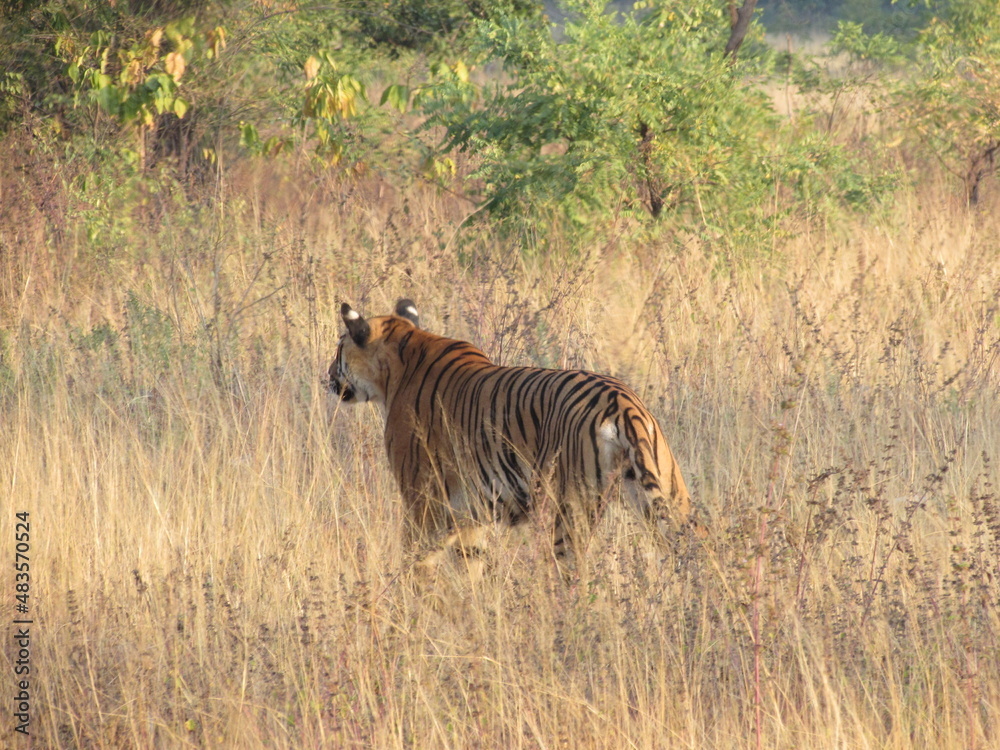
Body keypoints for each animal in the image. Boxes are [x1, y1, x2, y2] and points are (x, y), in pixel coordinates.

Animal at [328, 298, 704, 570]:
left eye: (338, 349)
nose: (328, 376)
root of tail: (623, 402)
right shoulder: (469, 512)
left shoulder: (423, 498)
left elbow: (416, 563)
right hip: (669, 496)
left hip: (568, 512)